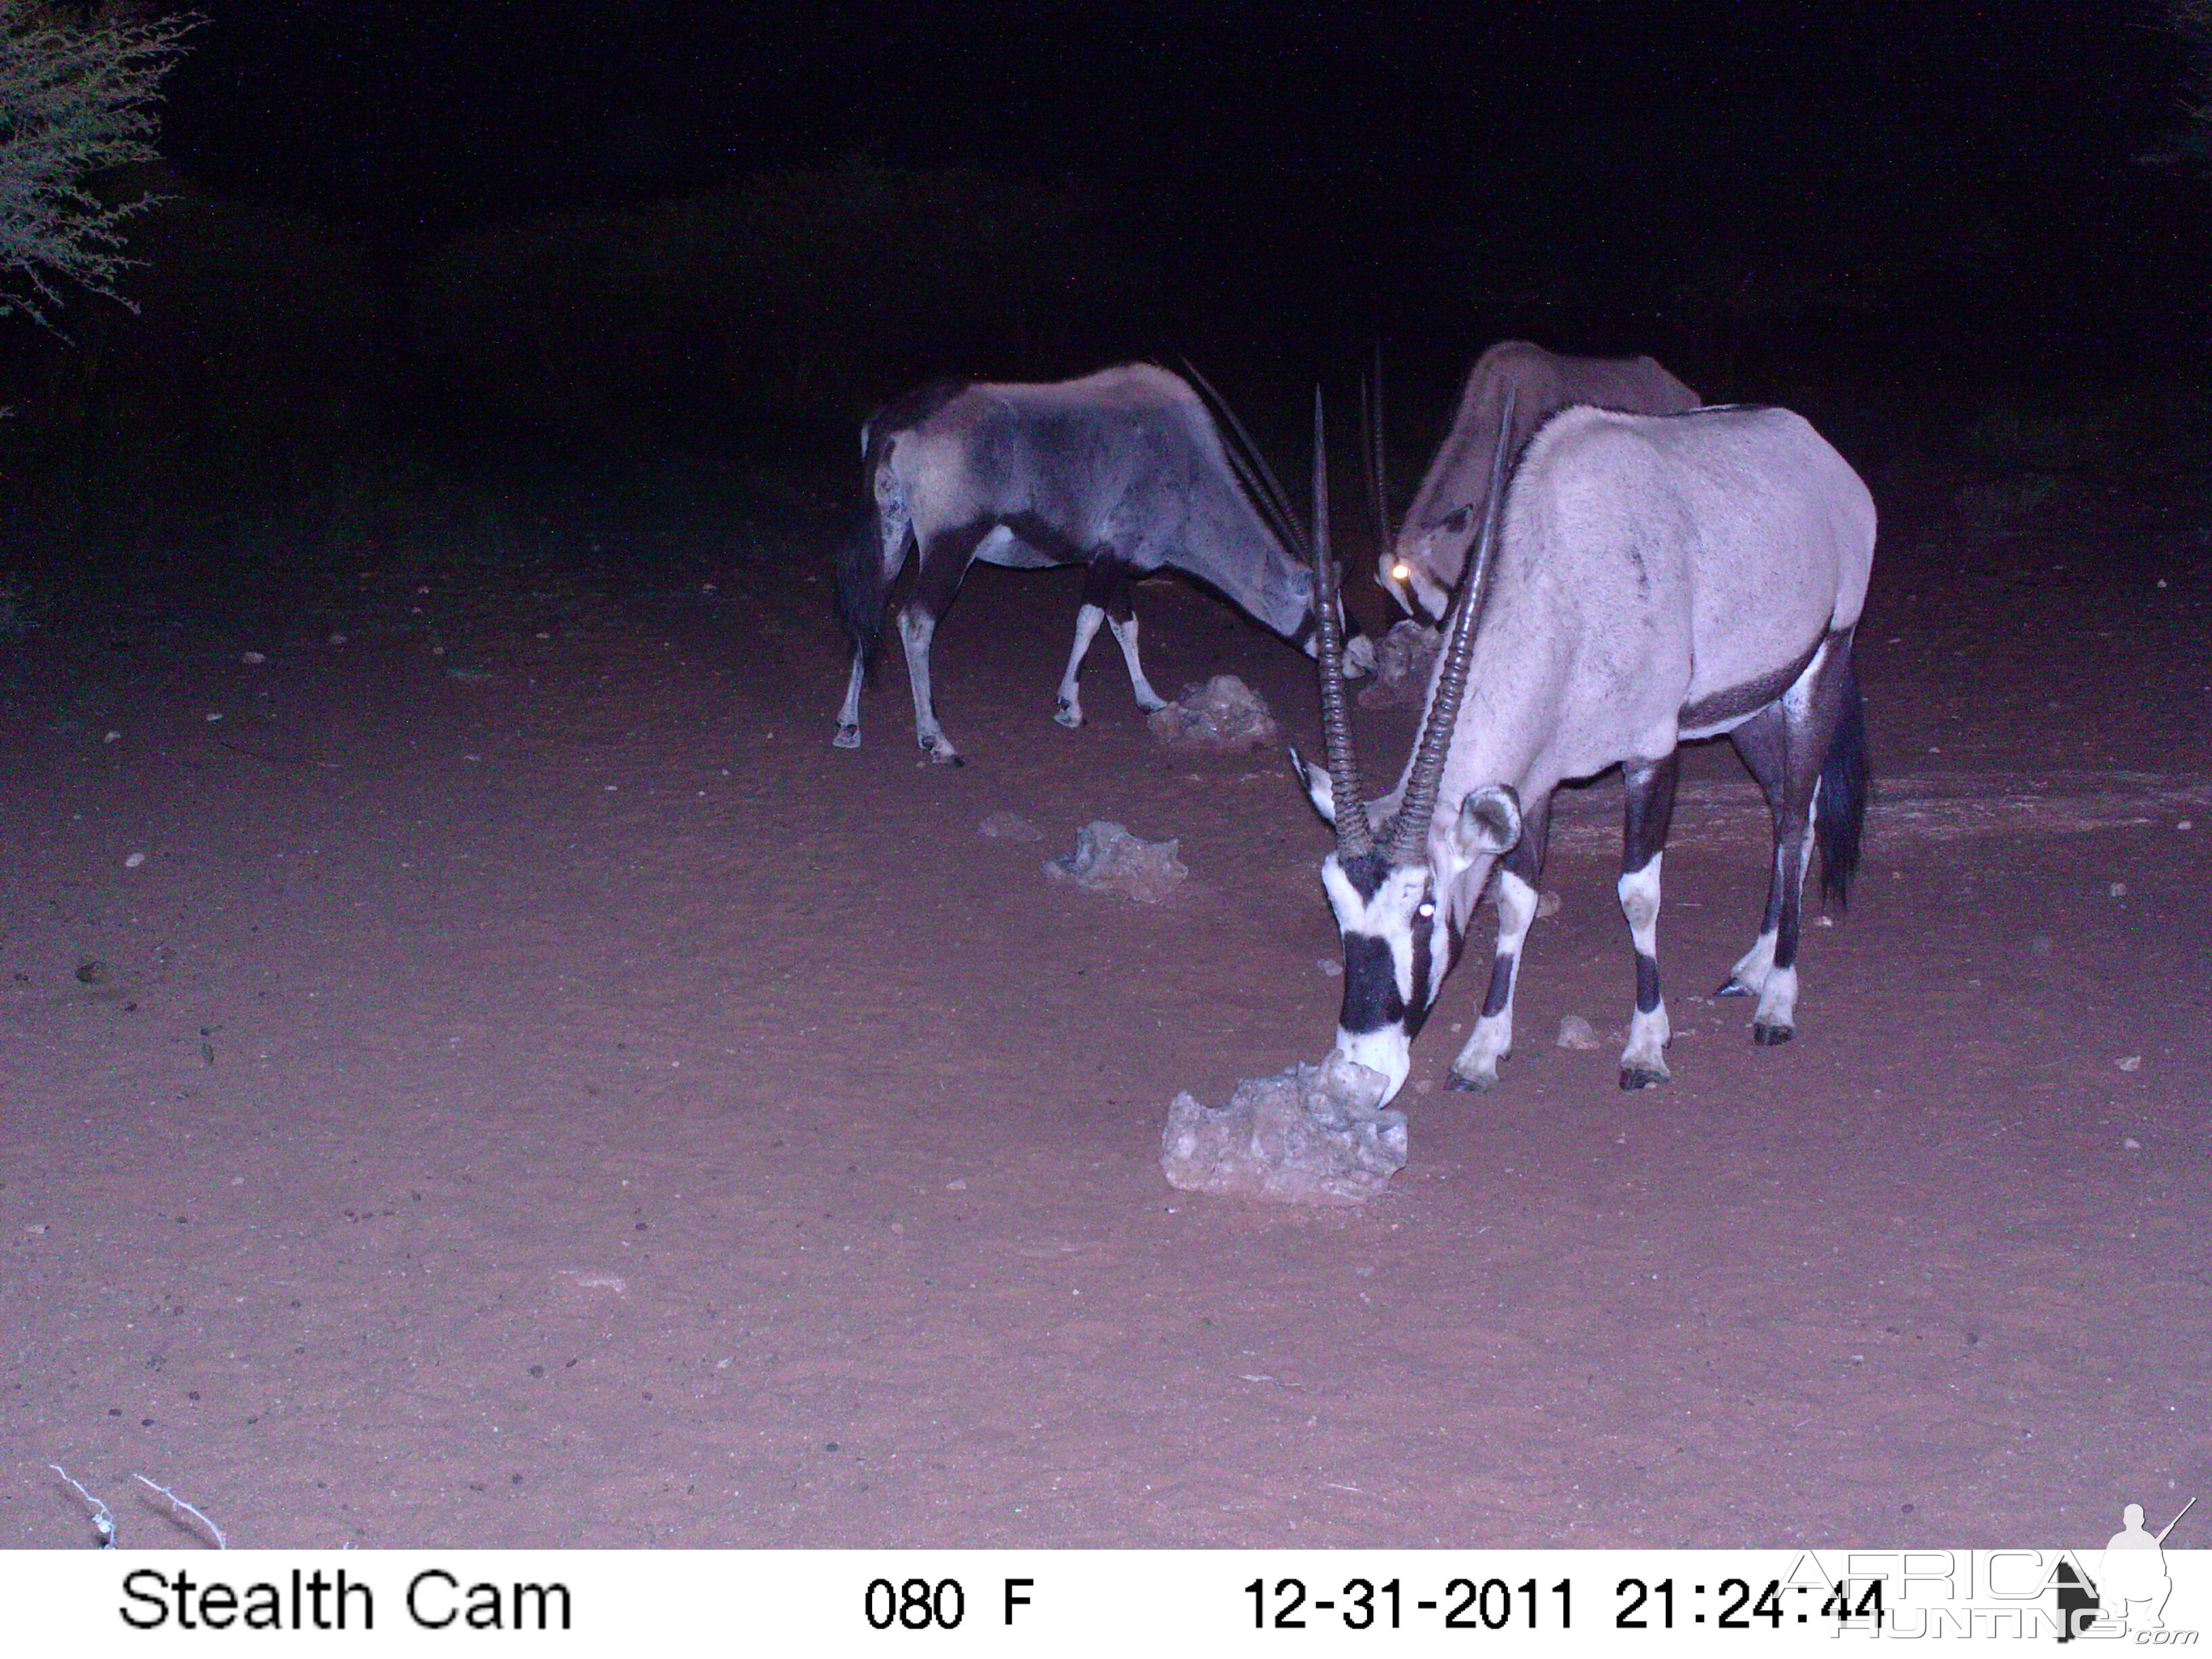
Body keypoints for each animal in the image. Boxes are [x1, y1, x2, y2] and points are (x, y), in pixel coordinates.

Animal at [1300, 393, 1875, 1106]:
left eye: (1425, 909)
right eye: (1336, 906)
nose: (1358, 1079)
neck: (1562, 576)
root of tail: (1820, 451)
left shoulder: (1653, 752)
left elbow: (1639, 893)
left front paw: (1647, 1048)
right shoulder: (1532, 784)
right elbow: (1516, 901)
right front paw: (1483, 1051)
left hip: (1823, 662)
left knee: (1796, 822)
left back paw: (1777, 1000)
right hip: (1751, 706)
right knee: (1788, 810)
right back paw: (1752, 967)